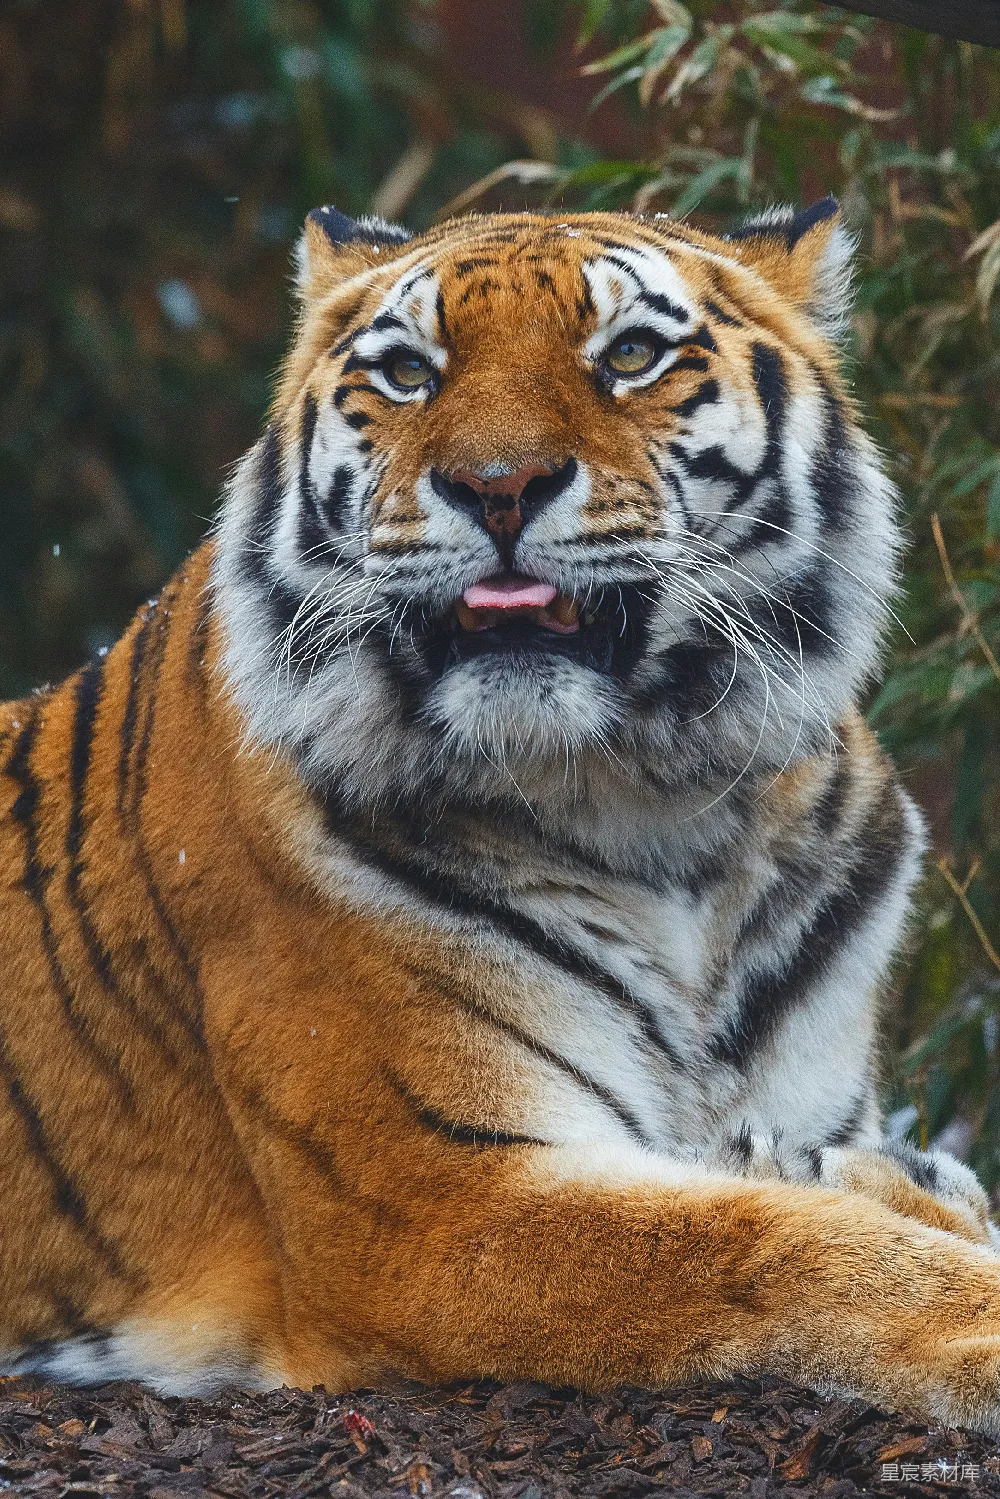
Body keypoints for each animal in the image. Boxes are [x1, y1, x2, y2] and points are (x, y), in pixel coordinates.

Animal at [3, 197, 1000, 1433]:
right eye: (407, 372)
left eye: (630, 355)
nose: (496, 483)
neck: (653, 809)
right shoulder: (437, 1202)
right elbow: (776, 1242)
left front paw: (893, 1177)